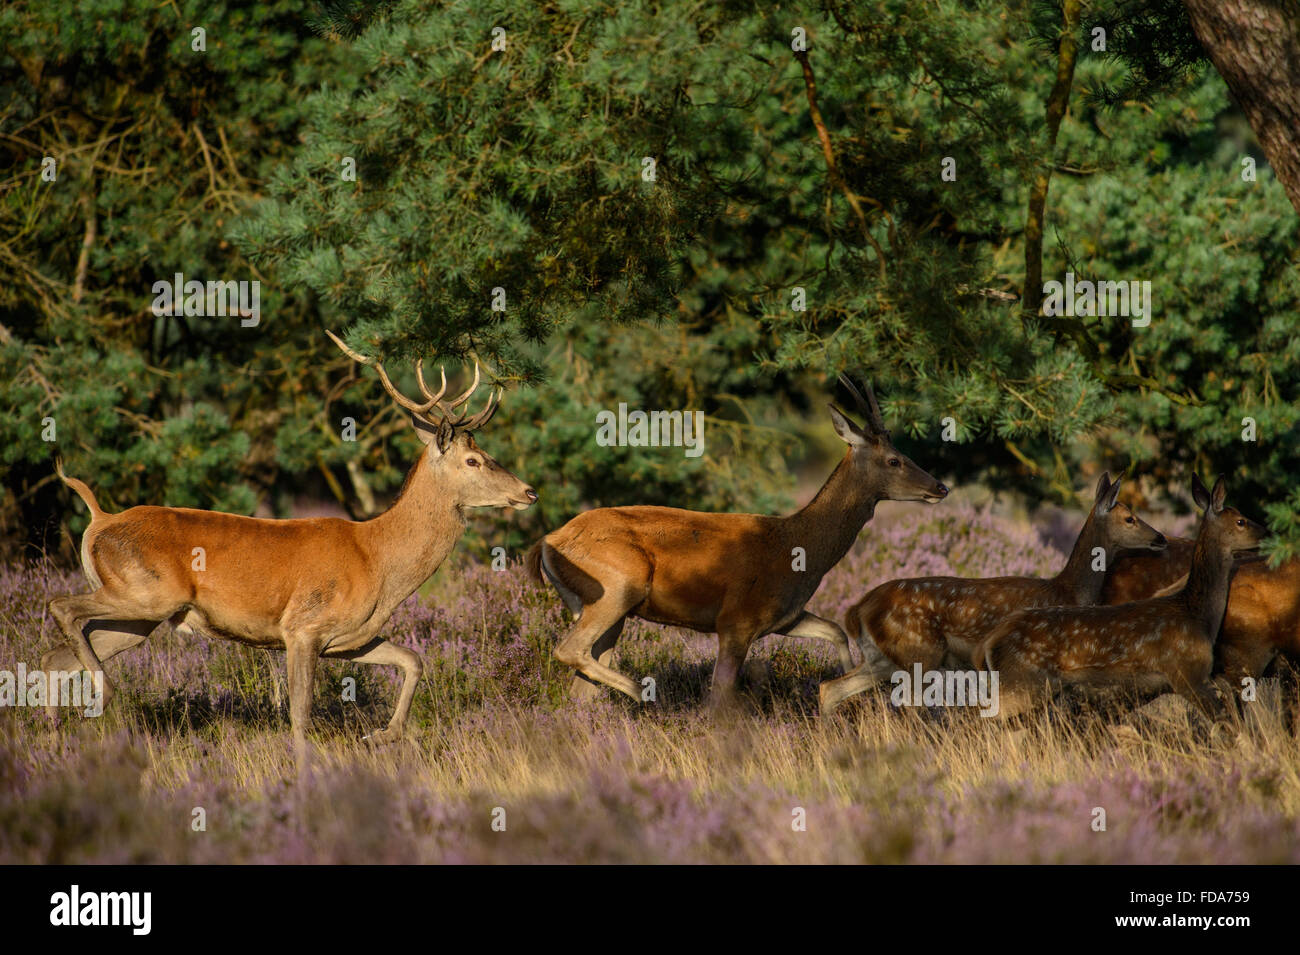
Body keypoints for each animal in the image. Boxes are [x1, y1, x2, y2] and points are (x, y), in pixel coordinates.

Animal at [40, 330, 537, 749]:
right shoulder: (302, 626)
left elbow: (414, 659)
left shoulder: (351, 638)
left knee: (54, 658)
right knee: (60, 606)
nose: (529, 492)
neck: (378, 561)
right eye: (473, 460)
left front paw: (381, 734)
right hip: (145, 592)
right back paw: (103, 699)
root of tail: (100, 520)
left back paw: (55, 737)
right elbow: (300, 716)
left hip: (140, 615)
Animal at [525, 377, 949, 708]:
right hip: (617, 583)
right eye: (894, 460)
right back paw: (642, 691)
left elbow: (835, 630)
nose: (940, 487)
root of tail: (546, 542)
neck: (800, 550)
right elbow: (720, 697)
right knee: (569, 650)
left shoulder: (783, 616)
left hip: (600, 606)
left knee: (581, 687)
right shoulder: (736, 619)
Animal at [818, 471, 1168, 713]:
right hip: (919, 650)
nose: (1161, 537)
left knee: (829, 689)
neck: (1067, 591)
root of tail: (858, 609)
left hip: (883, 658)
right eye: (1130, 518)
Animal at [973, 474, 1266, 719]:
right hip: (1022, 682)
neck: (1198, 616)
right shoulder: (1187, 673)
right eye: (1240, 521)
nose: (1268, 533)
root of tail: (989, 643)